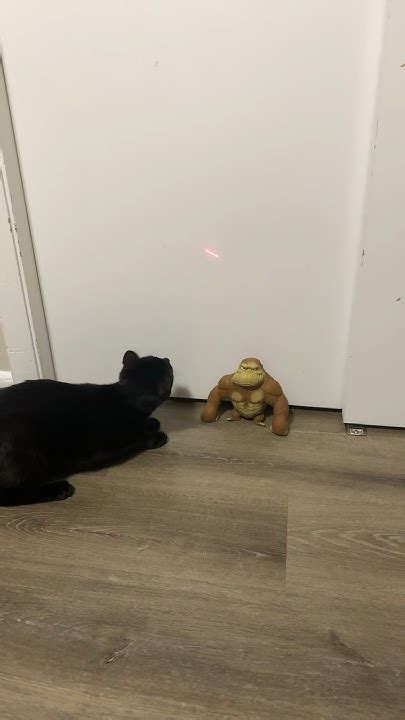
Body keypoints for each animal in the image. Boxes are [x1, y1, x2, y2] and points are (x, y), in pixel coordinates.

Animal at [0, 350, 173, 506]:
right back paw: (57, 489)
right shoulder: (103, 450)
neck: (125, 398)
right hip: (21, 438)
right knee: (6, 495)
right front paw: (155, 436)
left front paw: (151, 423)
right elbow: (135, 440)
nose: (168, 358)